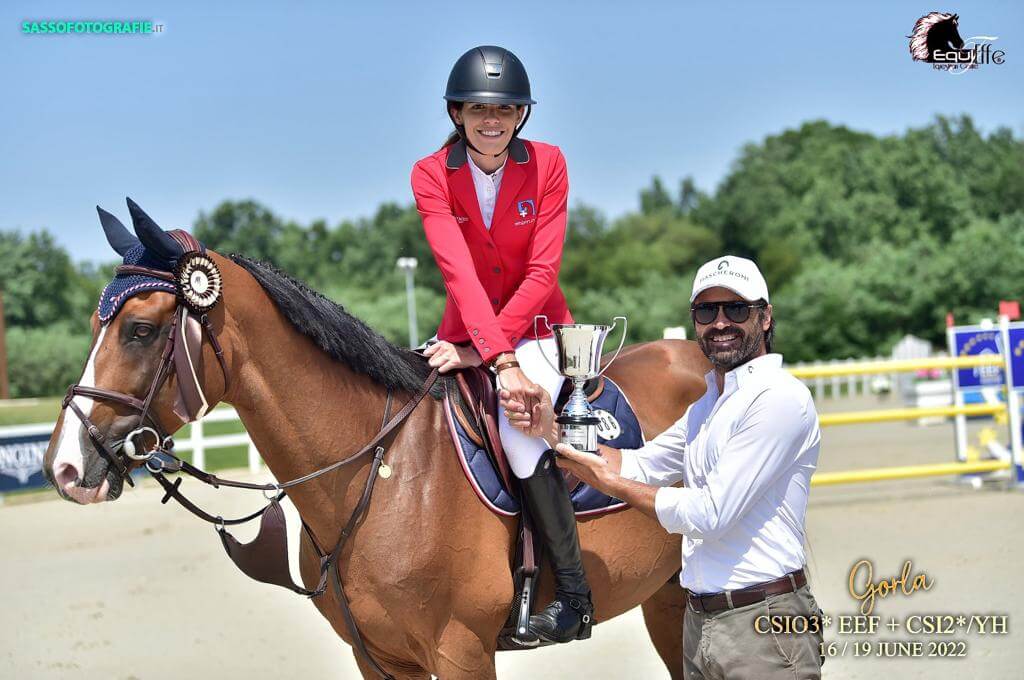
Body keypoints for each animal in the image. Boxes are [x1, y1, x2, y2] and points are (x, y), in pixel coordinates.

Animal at [41, 201, 712, 680]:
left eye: (140, 329)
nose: (64, 468)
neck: (386, 471)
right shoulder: (379, 659)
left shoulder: (462, 651)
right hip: (667, 598)